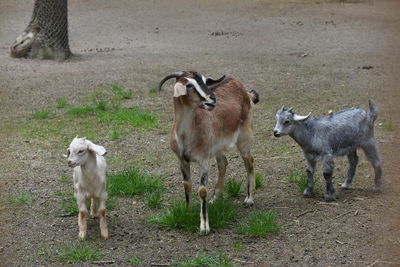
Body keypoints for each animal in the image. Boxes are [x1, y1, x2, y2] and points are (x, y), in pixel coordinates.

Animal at [159, 71, 260, 234]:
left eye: (206, 81)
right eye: (189, 85)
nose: (212, 99)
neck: (187, 135)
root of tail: (245, 91)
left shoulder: (203, 160)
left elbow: (202, 190)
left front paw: (204, 226)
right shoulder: (182, 160)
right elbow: (187, 185)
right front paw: (188, 211)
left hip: (245, 134)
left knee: (249, 161)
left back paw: (249, 199)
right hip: (217, 146)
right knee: (223, 163)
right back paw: (216, 197)